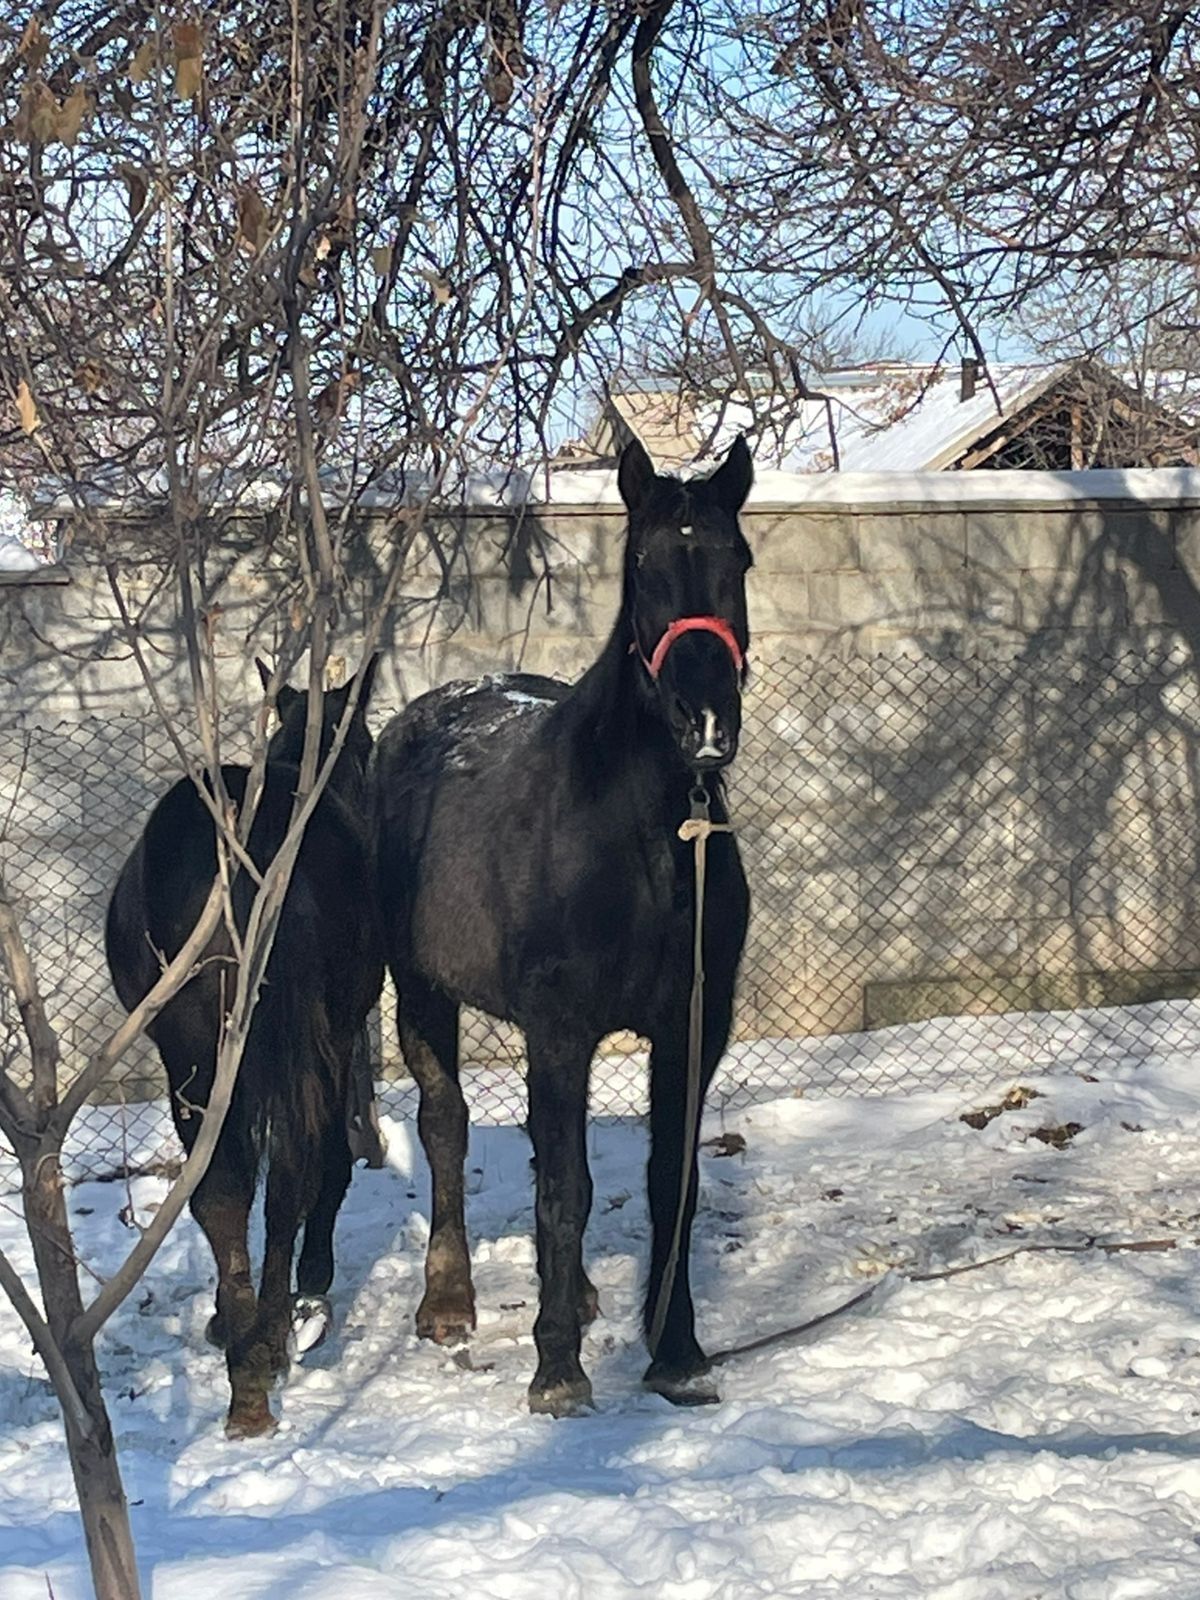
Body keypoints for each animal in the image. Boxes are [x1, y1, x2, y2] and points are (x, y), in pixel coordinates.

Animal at [107, 662, 382, 1440]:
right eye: (369, 745)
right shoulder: (339, 1034)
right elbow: (330, 1161)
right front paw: (311, 1287)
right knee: (288, 1173)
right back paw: (267, 1344)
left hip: (193, 1056)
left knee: (219, 1188)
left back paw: (242, 1346)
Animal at [371, 438, 755, 1414]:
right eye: (645, 566)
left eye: (738, 561)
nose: (706, 723)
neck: (646, 838)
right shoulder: (559, 1028)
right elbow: (566, 1191)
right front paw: (555, 1371)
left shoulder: (690, 1027)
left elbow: (668, 1179)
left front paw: (676, 1350)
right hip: (421, 992)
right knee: (447, 1125)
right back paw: (449, 1301)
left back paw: (574, 1294)